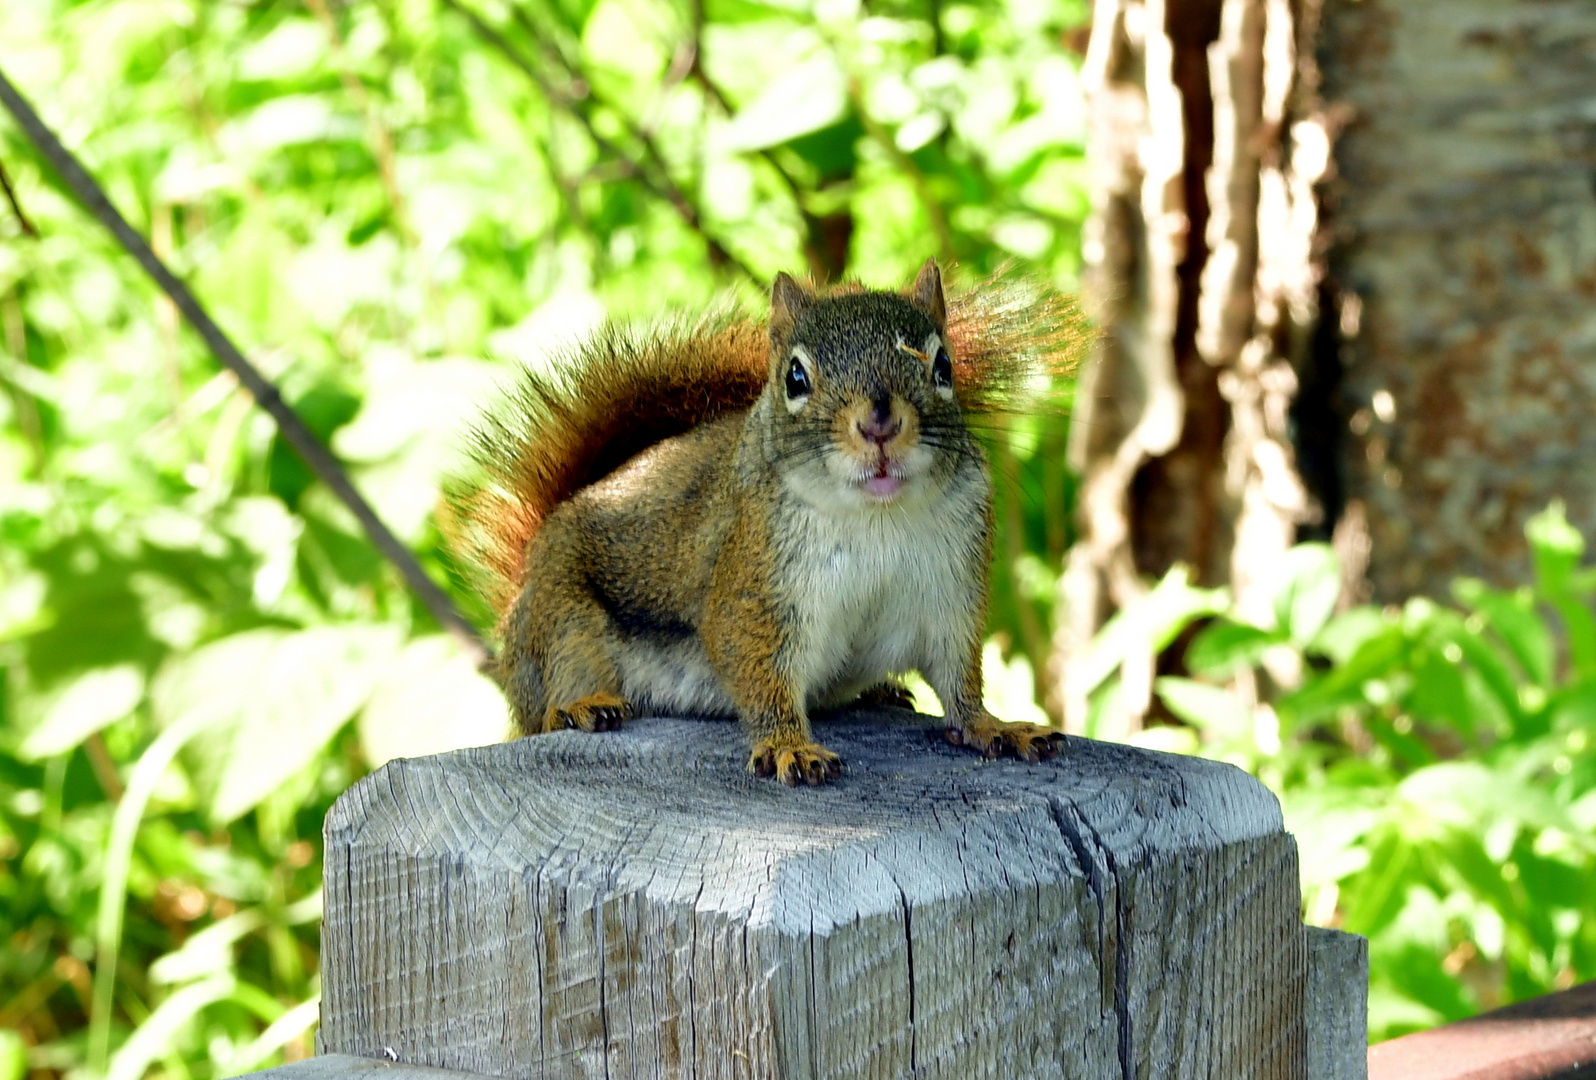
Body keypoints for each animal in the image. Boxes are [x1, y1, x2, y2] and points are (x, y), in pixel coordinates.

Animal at [450, 261, 1085, 784]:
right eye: (795, 378)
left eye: (944, 365)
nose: (879, 422)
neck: (874, 520)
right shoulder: (754, 590)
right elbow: (758, 672)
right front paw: (787, 746)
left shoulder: (949, 592)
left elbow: (958, 678)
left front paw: (995, 727)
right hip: (563, 621)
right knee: (551, 693)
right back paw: (577, 706)